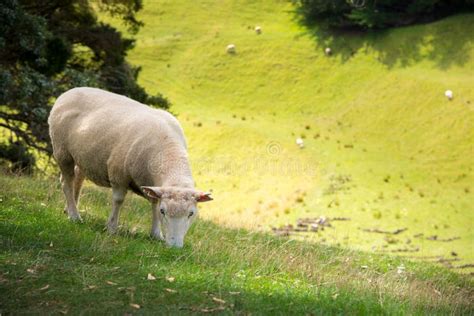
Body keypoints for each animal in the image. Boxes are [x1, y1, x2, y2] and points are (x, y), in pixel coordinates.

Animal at [47, 87, 211, 248]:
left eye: (191, 213)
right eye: (163, 211)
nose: (174, 247)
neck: (168, 151)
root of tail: (68, 92)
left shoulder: (152, 185)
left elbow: (154, 203)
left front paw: (156, 234)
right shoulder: (118, 174)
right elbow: (118, 200)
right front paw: (111, 228)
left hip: (82, 156)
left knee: (78, 179)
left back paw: (69, 208)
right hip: (62, 151)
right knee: (66, 183)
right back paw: (74, 216)